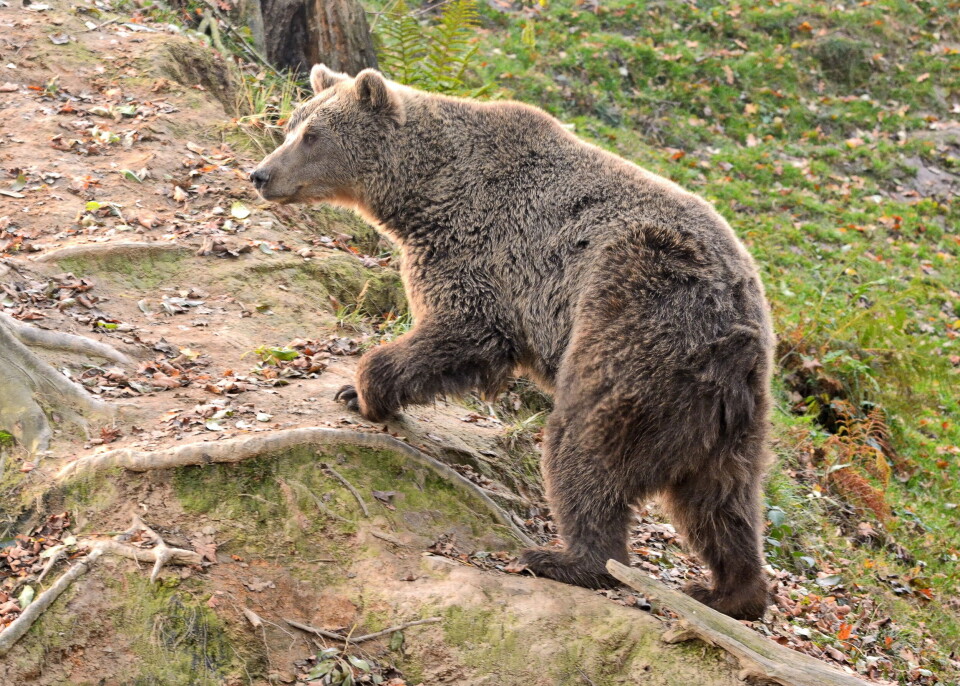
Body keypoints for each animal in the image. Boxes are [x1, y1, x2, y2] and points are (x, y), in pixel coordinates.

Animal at [251, 66, 776, 624]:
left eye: (313, 135)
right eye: (291, 124)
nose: (260, 174)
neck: (424, 190)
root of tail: (735, 331)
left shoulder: (482, 248)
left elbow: (462, 330)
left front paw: (362, 391)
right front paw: (358, 393)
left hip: (635, 334)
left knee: (584, 446)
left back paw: (563, 558)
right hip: (729, 417)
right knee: (722, 501)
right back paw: (730, 592)